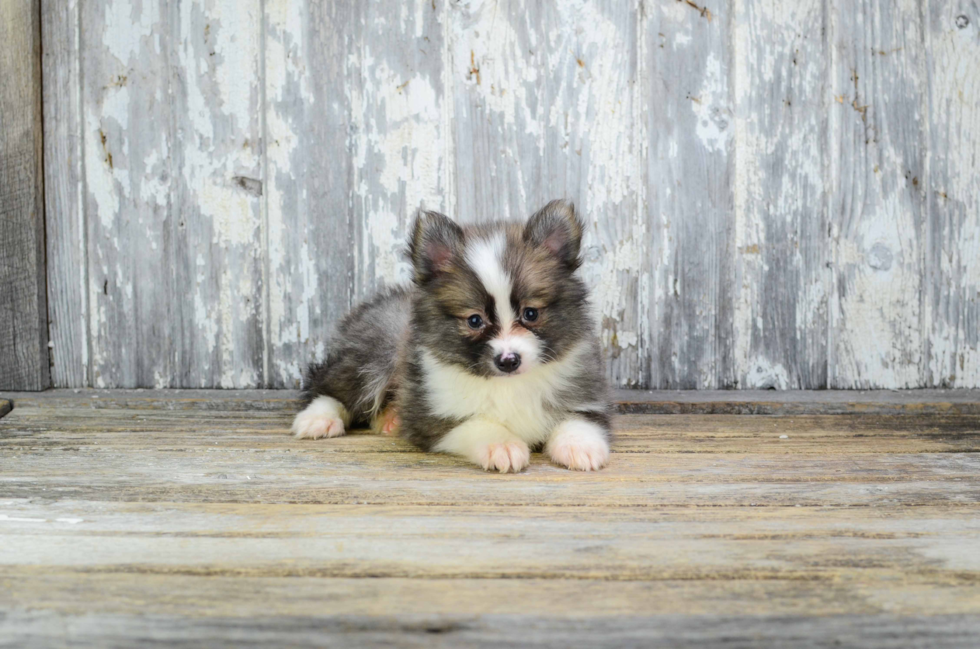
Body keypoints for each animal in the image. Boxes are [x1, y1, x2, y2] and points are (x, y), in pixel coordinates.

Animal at [290, 199, 612, 470]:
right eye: (474, 320)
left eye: (530, 314)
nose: (509, 361)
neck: (506, 385)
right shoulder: (432, 415)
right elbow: (475, 424)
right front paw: (502, 444)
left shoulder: (585, 397)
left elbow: (579, 420)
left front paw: (579, 445)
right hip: (375, 351)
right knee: (330, 387)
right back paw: (318, 418)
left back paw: (389, 417)